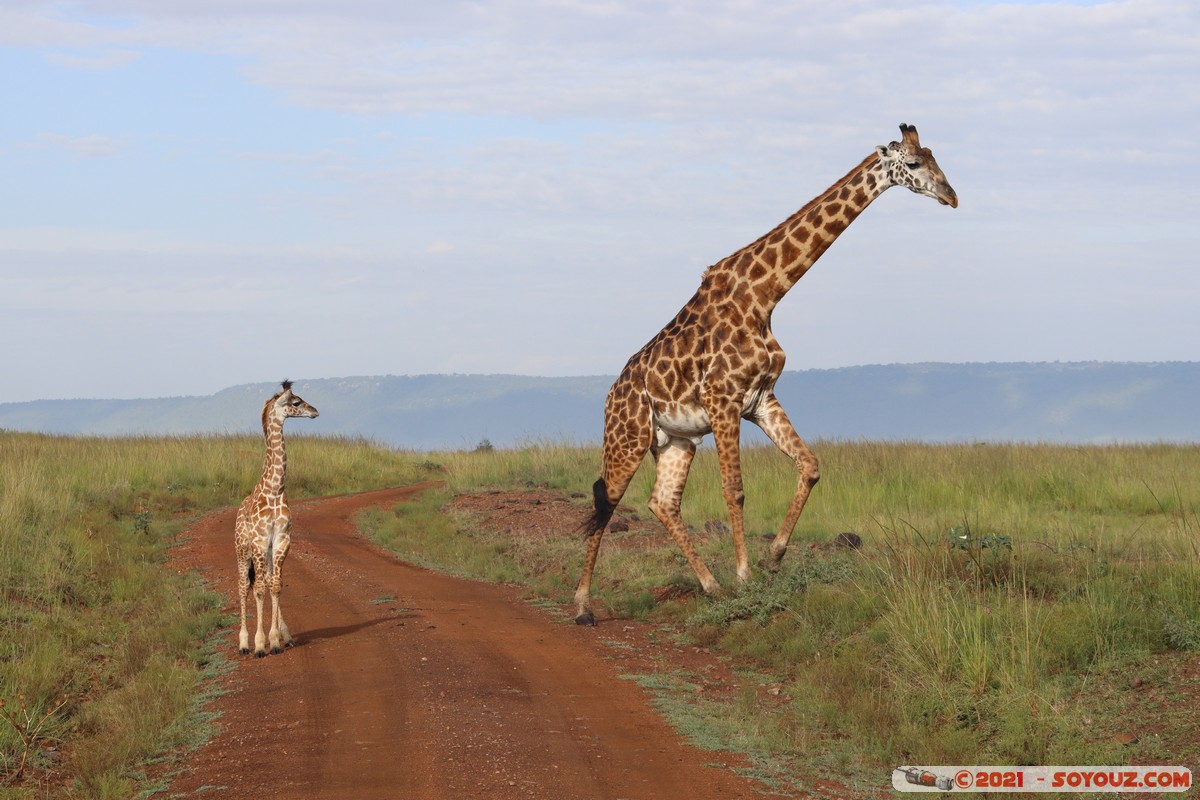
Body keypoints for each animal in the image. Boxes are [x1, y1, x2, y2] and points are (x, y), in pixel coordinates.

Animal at [235, 380, 319, 656]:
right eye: (296, 402)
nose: (315, 411)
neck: (275, 489)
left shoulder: (281, 539)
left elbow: (276, 586)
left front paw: (275, 640)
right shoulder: (260, 541)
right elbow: (260, 589)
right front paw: (260, 644)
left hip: (267, 552)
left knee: (268, 580)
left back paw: (284, 636)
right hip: (243, 550)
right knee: (243, 587)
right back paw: (243, 643)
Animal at [574, 124, 957, 625]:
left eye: (934, 157)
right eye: (912, 164)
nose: (951, 196)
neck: (764, 296)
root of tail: (609, 397)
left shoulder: (761, 399)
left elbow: (809, 465)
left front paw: (773, 557)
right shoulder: (723, 399)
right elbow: (734, 490)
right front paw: (745, 576)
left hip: (676, 440)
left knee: (662, 502)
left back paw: (710, 586)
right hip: (628, 439)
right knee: (606, 502)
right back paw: (583, 605)